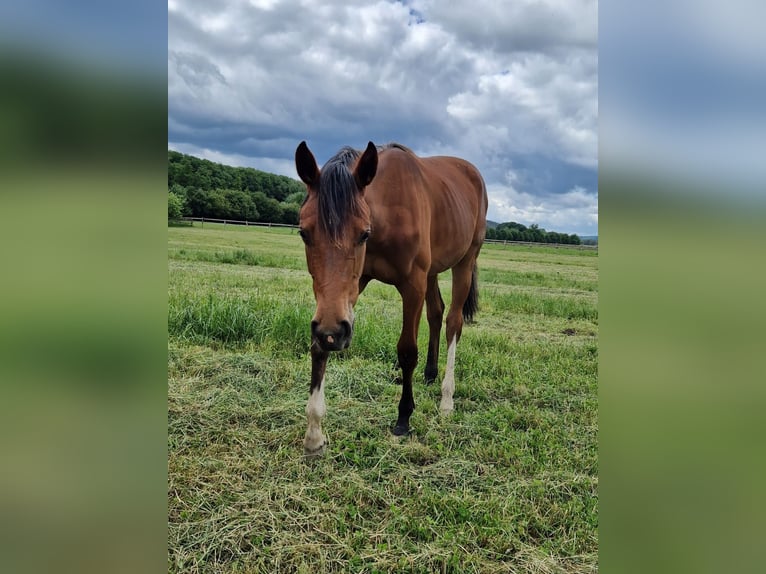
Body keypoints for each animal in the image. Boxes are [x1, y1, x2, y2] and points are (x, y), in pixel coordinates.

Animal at [294, 142, 486, 456]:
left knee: (453, 322)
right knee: (436, 313)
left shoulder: (413, 285)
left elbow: (407, 351)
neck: (387, 215)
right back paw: (430, 374)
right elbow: (318, 347)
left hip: (465, 262)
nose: (334, 333)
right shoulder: (350, 289)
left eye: (363, 234)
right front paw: (314, 431)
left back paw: (447, 398)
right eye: (303, 233)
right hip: (433, 271)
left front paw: (404, 418)